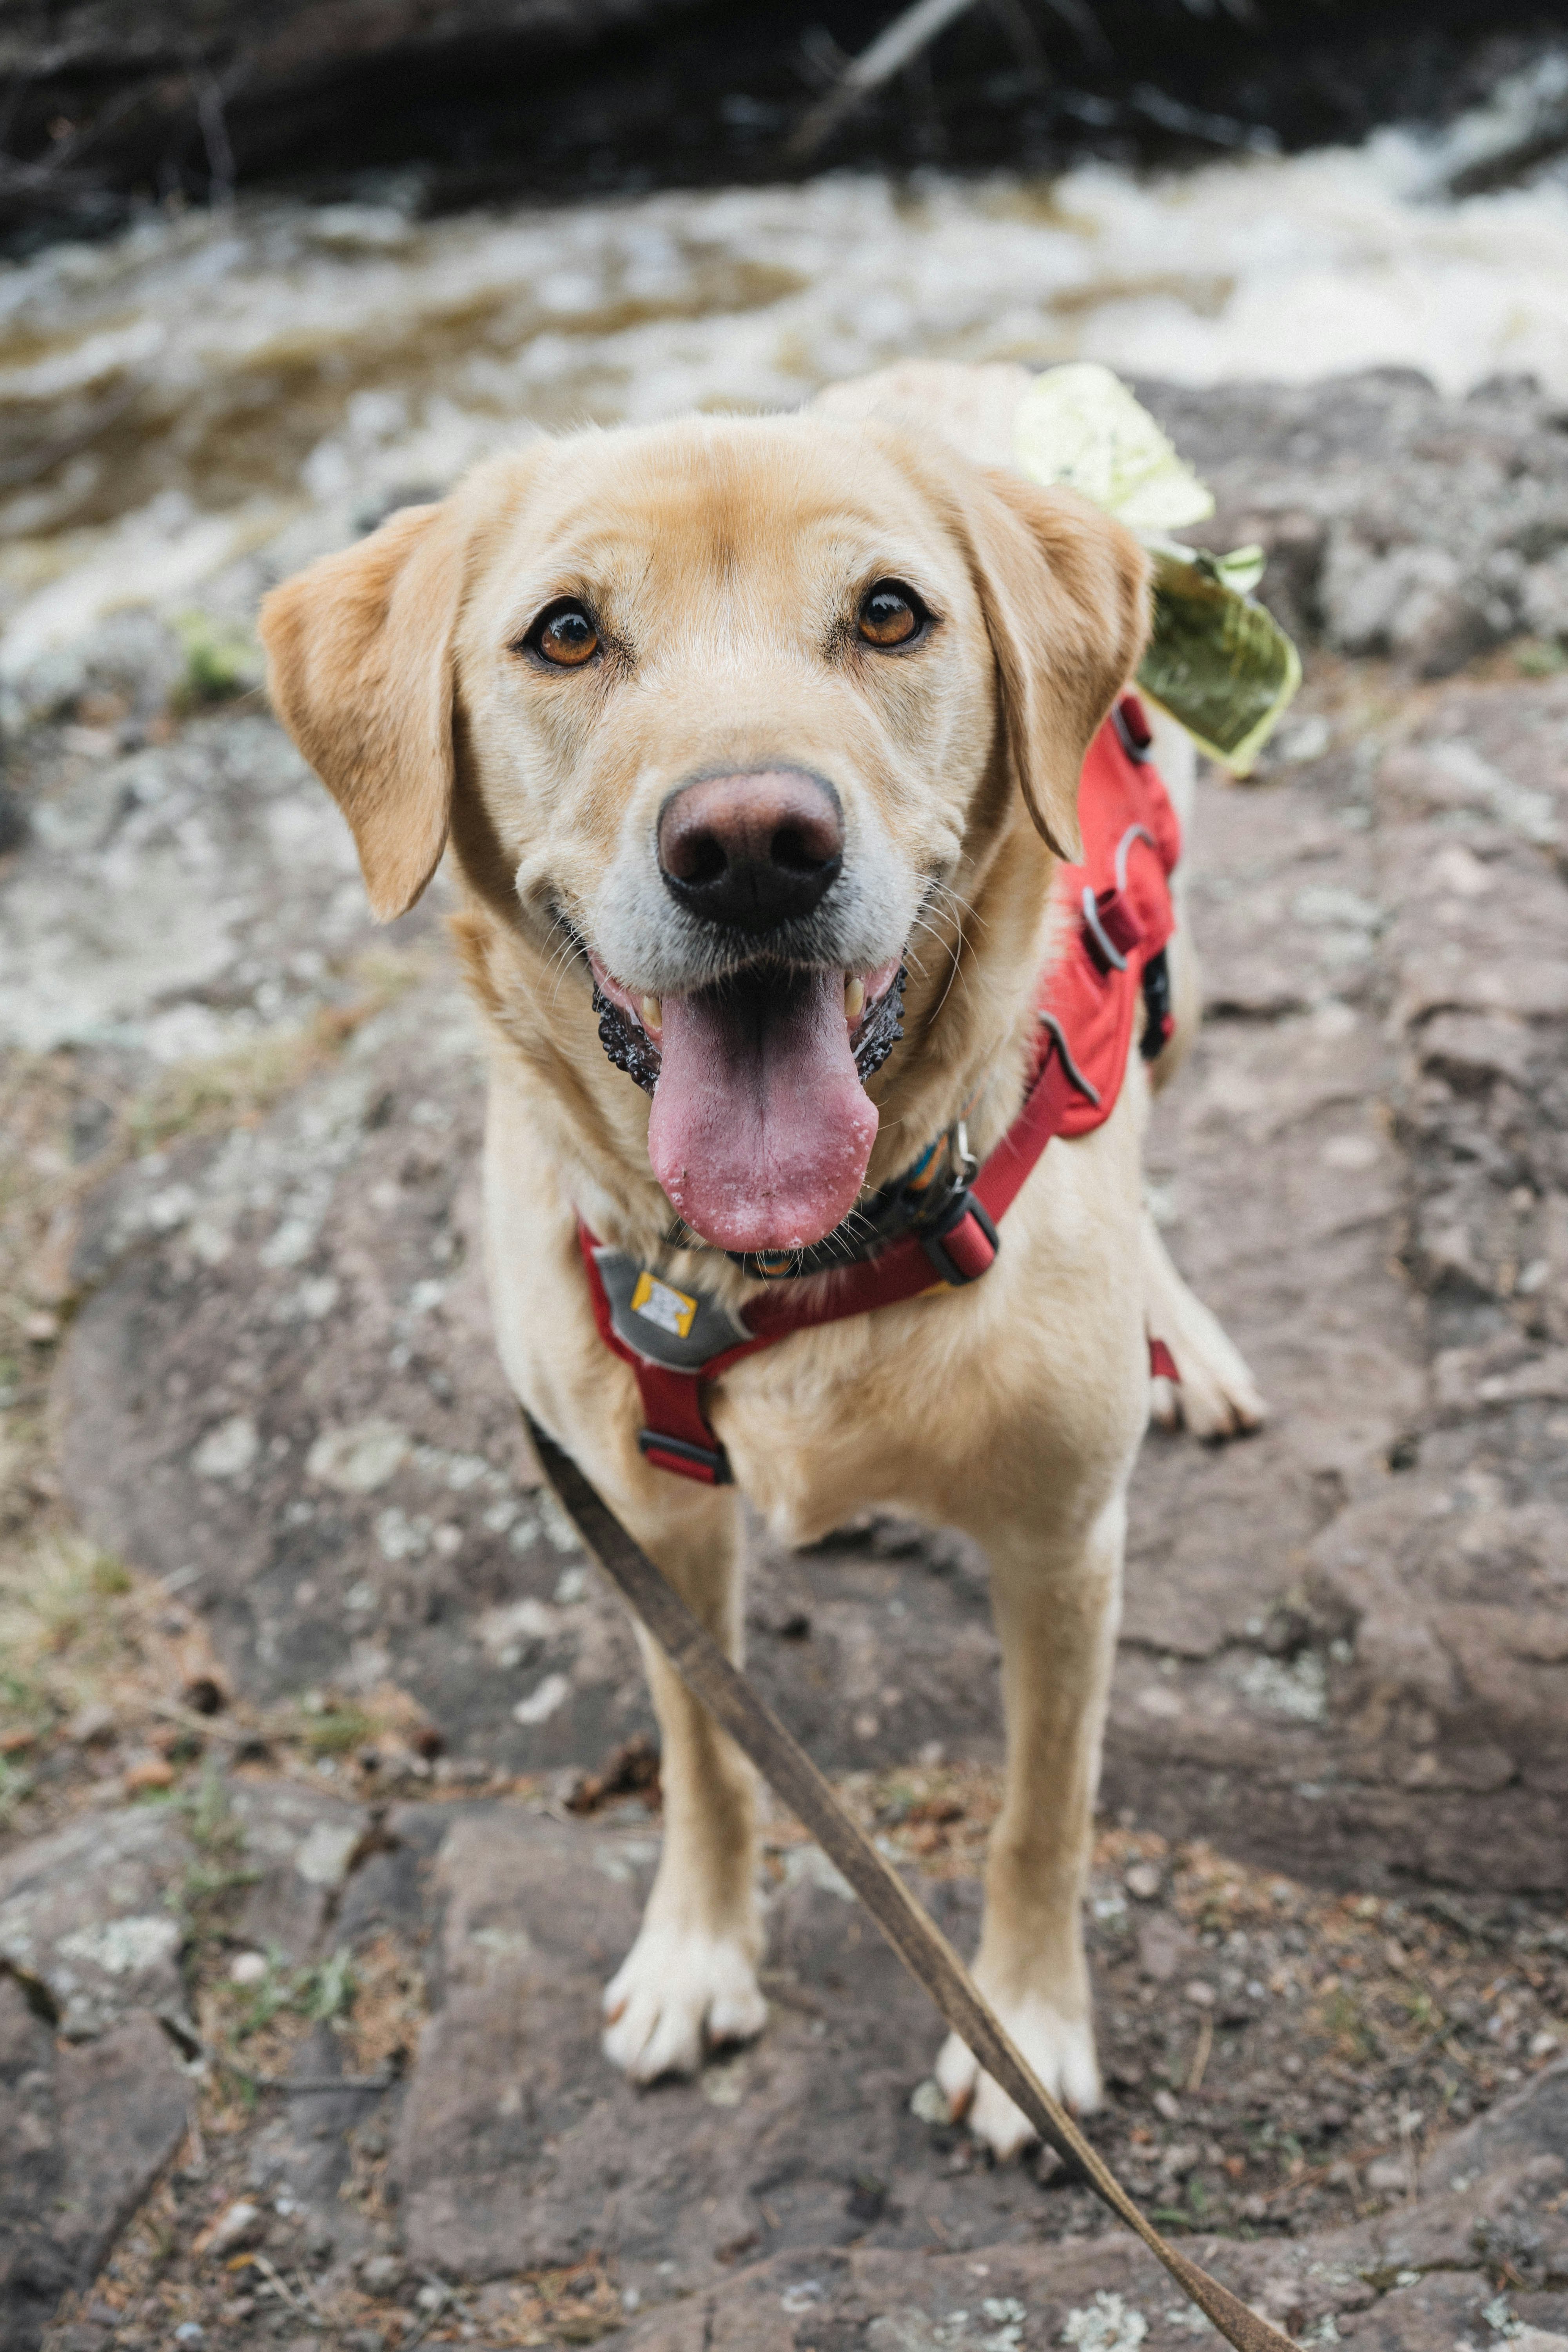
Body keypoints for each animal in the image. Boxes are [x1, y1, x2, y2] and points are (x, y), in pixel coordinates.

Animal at [257, 362, 1260, 2154]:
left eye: (888, 613)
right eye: (565, 633)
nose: (747, 845)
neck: (789, 1259)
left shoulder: (1063, 1548)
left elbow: (1042, 1807)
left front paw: (1024, 2026)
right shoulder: (647, 1523)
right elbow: (708, 1756)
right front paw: (698, 1954)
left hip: (1171, 973)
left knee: (1134, 1105)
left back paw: (1183, 1331)